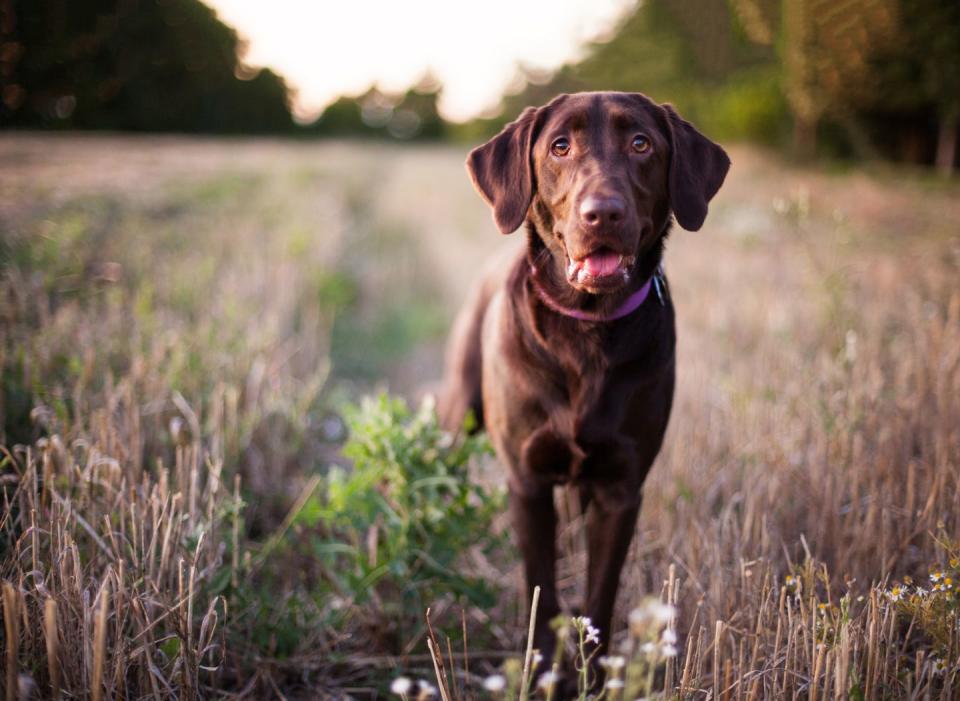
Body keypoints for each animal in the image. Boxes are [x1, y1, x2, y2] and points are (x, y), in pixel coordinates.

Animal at [440, 90, 728, 668]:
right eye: (559, 146)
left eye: (641, 143)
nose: (603, 212)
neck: (586, 333)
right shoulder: (527, 482)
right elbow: (540, 587)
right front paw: (543, 668)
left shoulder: (621, 488)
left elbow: (600, 597)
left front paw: (593, 675)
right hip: (459, 411)